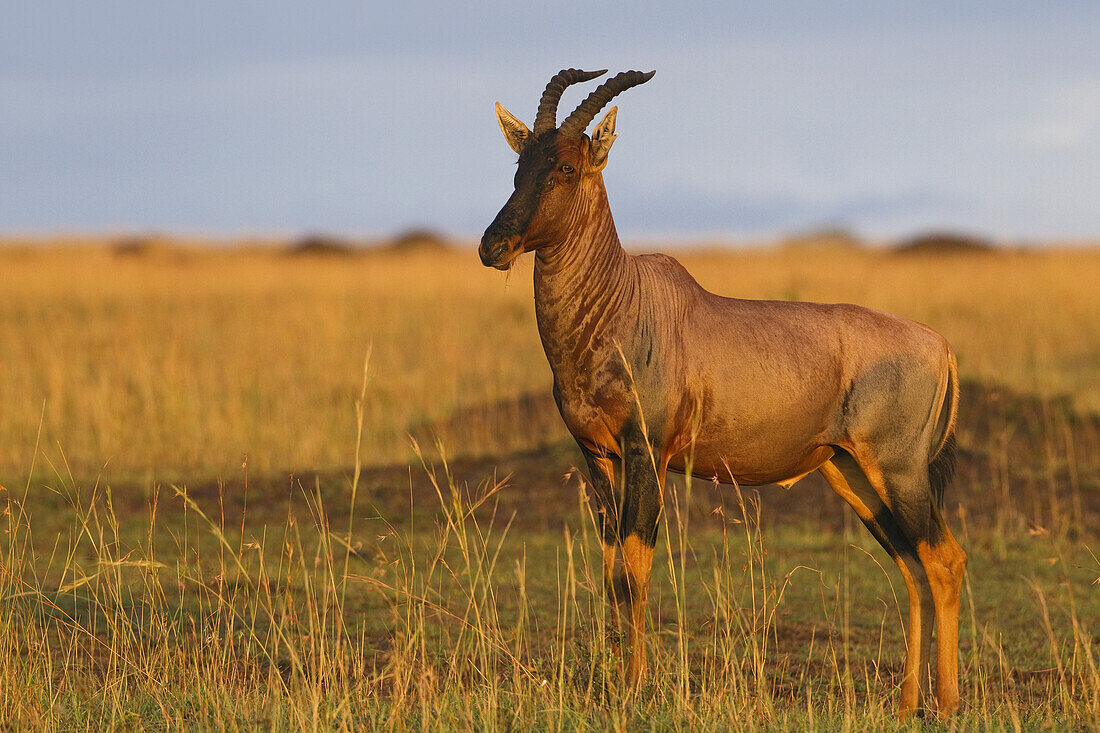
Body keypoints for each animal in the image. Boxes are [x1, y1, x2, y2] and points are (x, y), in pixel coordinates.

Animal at [477, 69, 968, 713]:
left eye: (565, 166)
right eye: (520, 164)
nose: (493, 247)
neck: (626, 299)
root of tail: (941, 346)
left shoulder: (648, 452)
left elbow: (634, 567)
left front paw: (634, 689)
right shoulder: (597, 457)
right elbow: (610, 569)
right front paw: (616, 685)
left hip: (900, 470)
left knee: (944, 560)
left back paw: (948, 702)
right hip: (854, 473)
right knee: (911, 564)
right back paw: (909, 701)